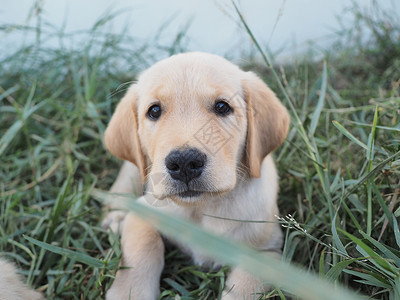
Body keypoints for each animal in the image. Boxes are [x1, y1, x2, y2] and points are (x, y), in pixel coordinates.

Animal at [102, 52, 290, 298]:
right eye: (154, 111)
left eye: (222, 106)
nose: (184, 163)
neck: (203, 208)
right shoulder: (142, 214)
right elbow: (144, 248)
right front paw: (130, 292)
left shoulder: (266, 252)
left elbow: (245, 286)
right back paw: (115, 218)